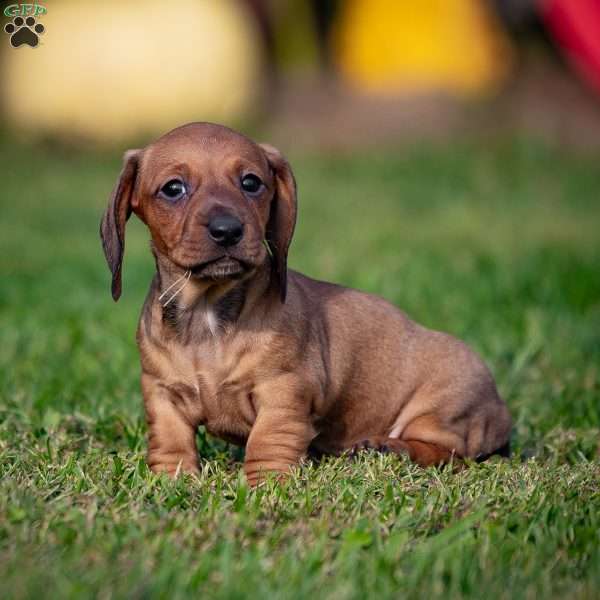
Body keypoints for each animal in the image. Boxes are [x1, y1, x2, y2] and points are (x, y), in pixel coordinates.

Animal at [99, 124, 510, 486]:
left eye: (251, 183)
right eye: (173, 189)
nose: (227, 230)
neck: (207, 316)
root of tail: (501, 411)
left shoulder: (283, 393)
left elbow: (268, 441)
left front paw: (265, 485)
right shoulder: (161, 392)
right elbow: (170, 441)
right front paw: (172, 480)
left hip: (441, 409)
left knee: (448, 451)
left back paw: (391, 448)